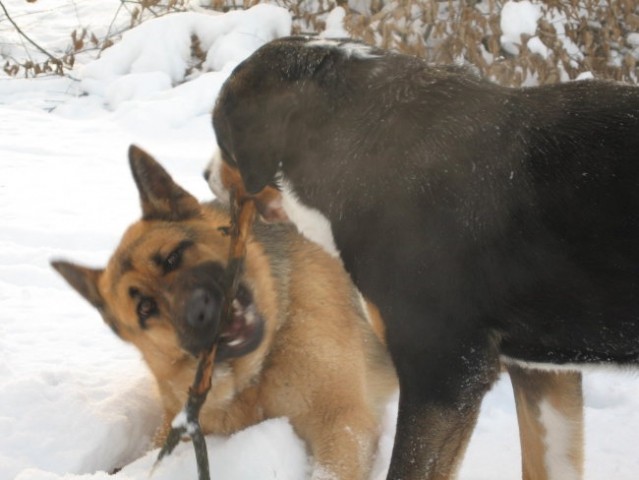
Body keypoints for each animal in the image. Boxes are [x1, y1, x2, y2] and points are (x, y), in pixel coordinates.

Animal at [52, 146, 398, 480]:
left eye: (172, 258)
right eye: (145, 308)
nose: (200, 311)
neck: (251, 376)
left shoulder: (342, 421)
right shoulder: (180, 426)